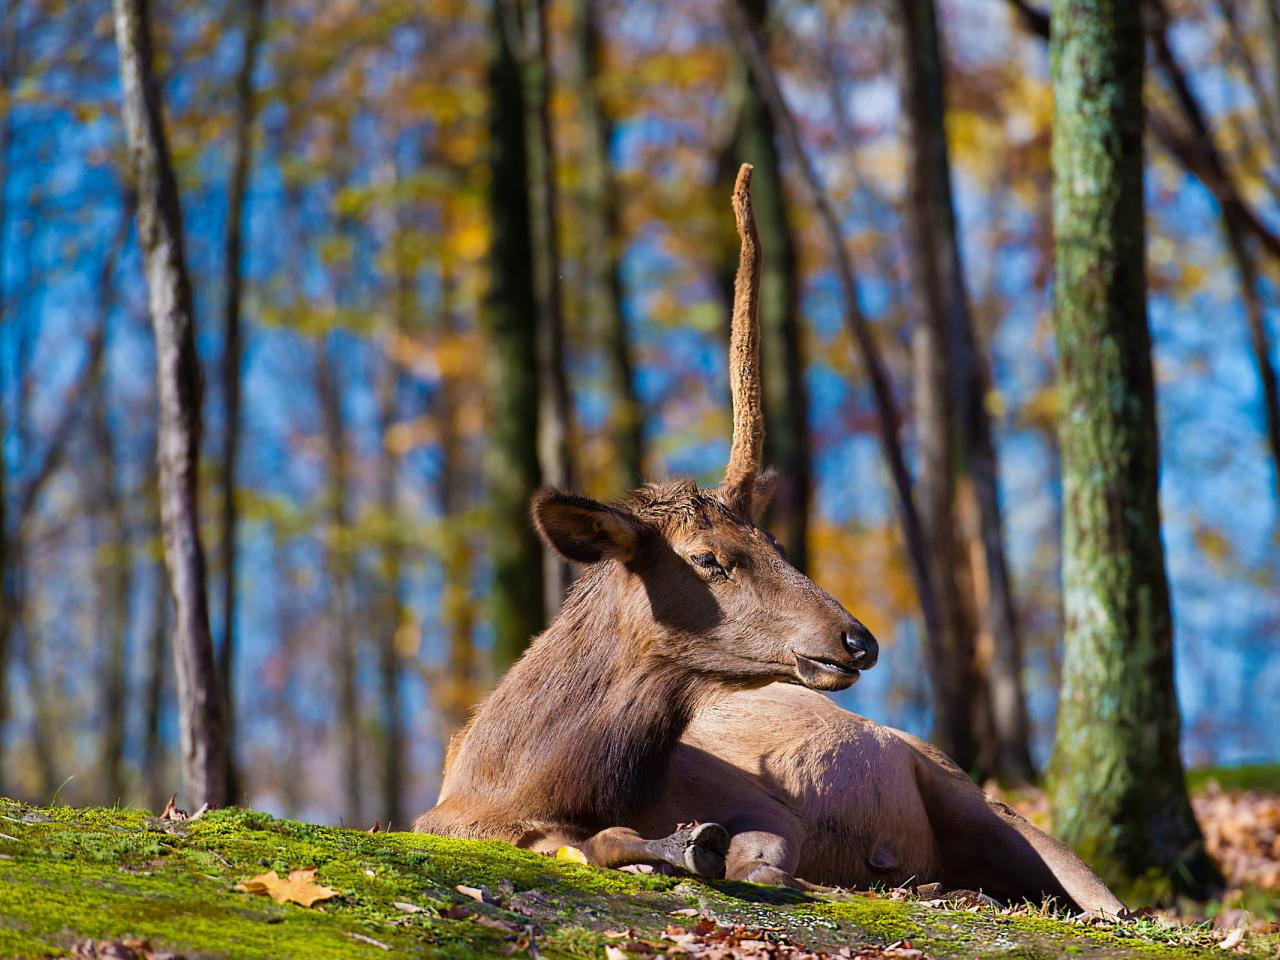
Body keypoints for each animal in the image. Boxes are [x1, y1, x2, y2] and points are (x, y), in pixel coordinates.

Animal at [409, 167, 880, 880]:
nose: (858, 641)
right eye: (708, 557)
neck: (511, 785)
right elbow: (591, 841)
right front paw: (680, 843)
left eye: (776, 543)